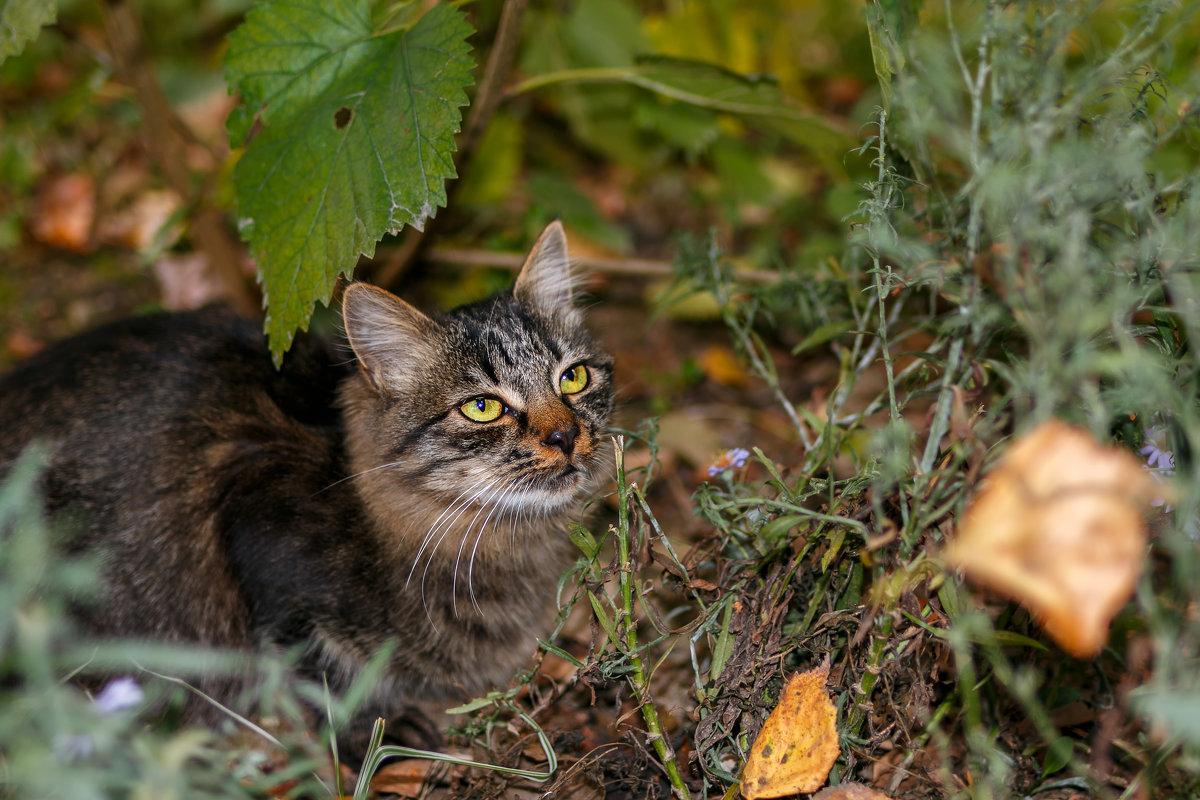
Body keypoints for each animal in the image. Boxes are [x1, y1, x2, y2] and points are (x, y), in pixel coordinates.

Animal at [0, 221, 614, 748]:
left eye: (573, 377)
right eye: (482, 407)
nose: (564, 435)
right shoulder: (263, 531)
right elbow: (324, 680)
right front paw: (382, 731)